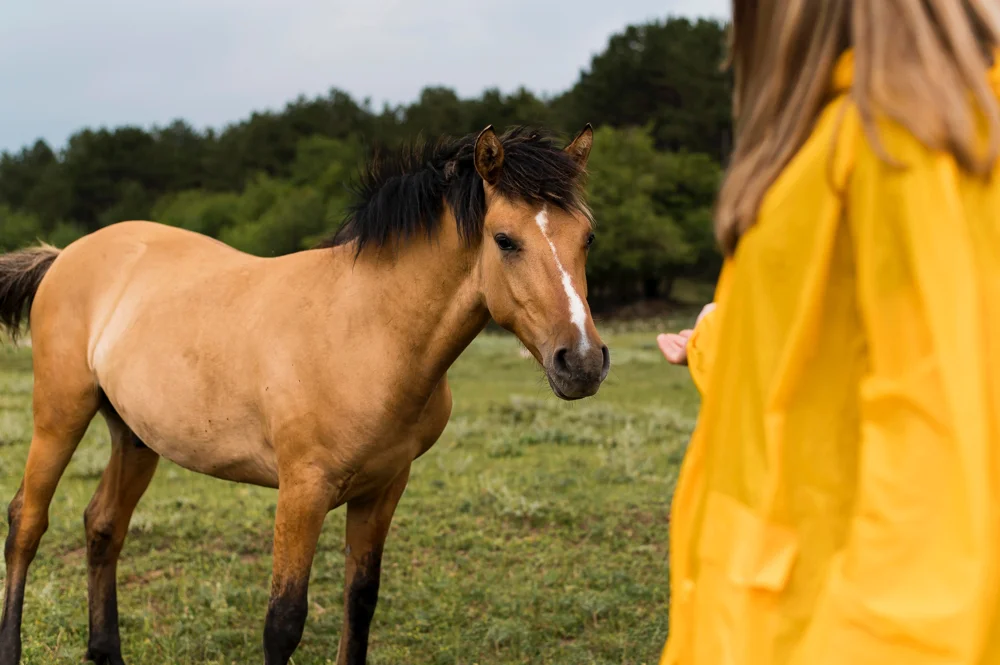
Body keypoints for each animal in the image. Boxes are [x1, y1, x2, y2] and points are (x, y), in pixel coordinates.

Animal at [0, 124, 608, 664]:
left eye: (587, 237)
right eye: (505, 239)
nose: (581, 361)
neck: (365, 331)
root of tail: (64, 256)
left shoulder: (384, 487)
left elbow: (360, 603)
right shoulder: (302, 490)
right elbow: (284, 622)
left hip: (133, 435)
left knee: (103, 526)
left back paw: (106, 651)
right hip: (60, 416)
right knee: (26, 523)